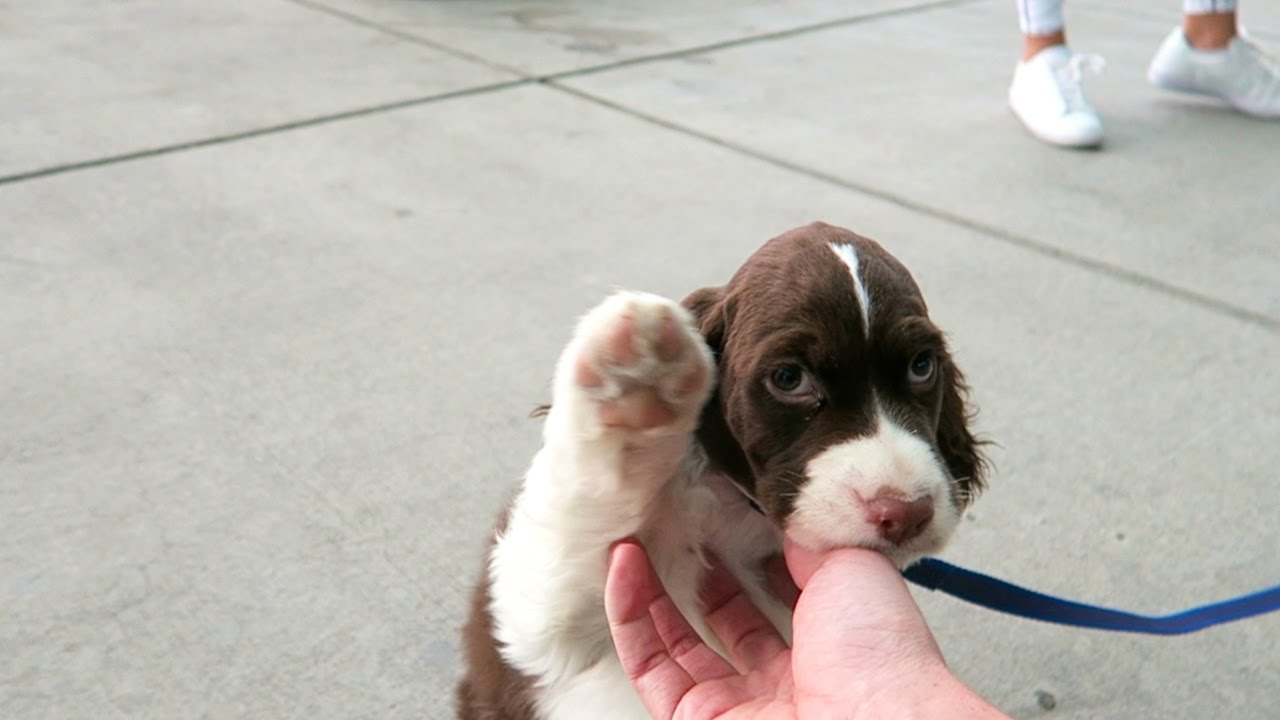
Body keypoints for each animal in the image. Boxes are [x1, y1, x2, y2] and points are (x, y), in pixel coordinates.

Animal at [460, 221, 988, 712]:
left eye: (922, 366)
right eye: (789, 378)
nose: (906, 514)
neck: (741, 520)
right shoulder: (551, 627)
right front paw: (638, 382)